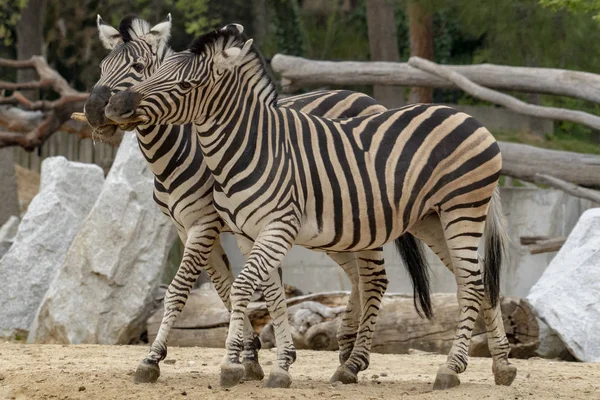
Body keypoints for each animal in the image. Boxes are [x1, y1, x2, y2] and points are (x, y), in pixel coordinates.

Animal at [104, 25, 516, 390]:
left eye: (185, 85)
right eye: (156, 72)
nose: (113, 105)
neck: (248, 148)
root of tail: (468, 117)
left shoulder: (265, 226)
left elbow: (237, 288)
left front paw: (230, 363)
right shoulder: (247, 233)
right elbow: (270, 295)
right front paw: (277, 365)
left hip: (461, 211)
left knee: (460, 282)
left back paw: (446, 368)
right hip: (430, 220)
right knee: (475, 282)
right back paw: (499, 365)